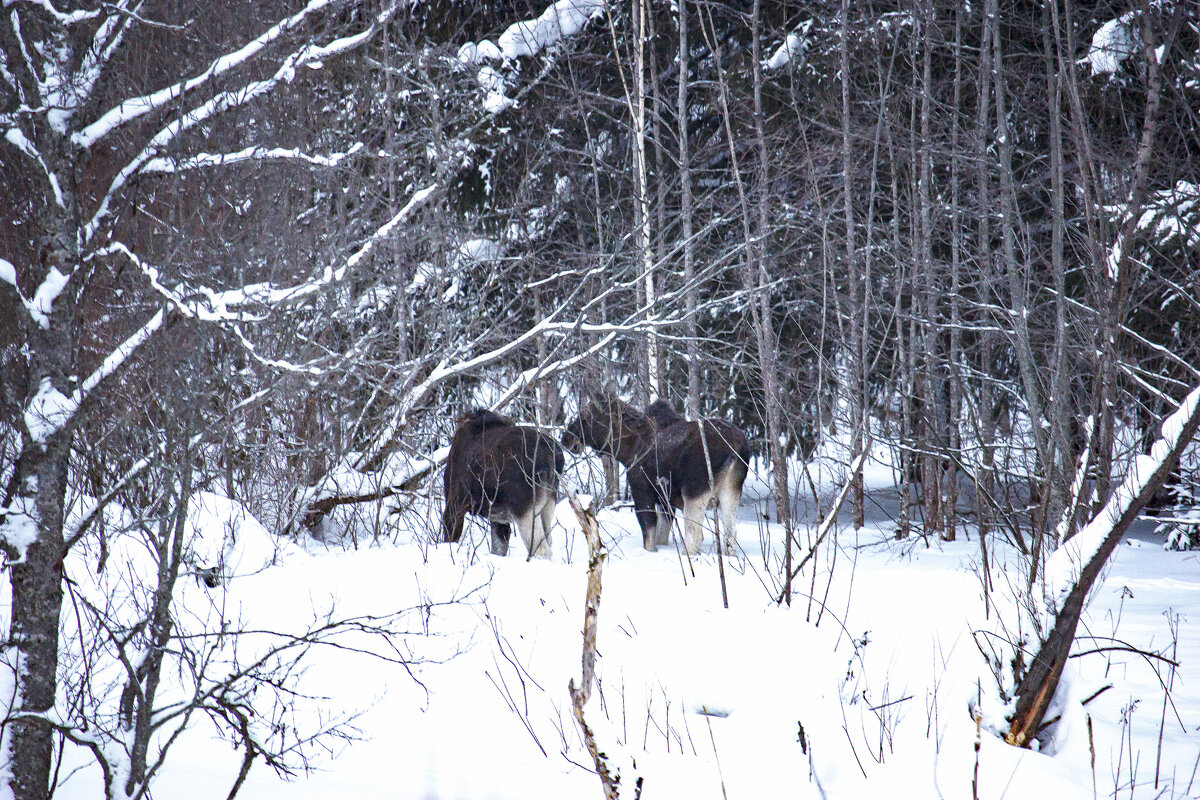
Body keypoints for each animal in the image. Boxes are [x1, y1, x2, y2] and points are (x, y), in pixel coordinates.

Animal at [444, 410, 564, 561]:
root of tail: (554, 459)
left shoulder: (454, 504)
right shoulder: (499, 518)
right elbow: (499, 548)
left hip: (525, 510)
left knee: (541, 550)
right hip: (549, 504)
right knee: (548, 540)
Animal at [561, 391, 748, 554]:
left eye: (585, 418)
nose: (566, 438)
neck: (626, 451)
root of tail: (736, 449)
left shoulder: (642, 491)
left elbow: (649, 538)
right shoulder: (666, 501)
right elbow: (662, 536)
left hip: (694, 492)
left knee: (695, 536)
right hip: (731, 491)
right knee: (730, 536)